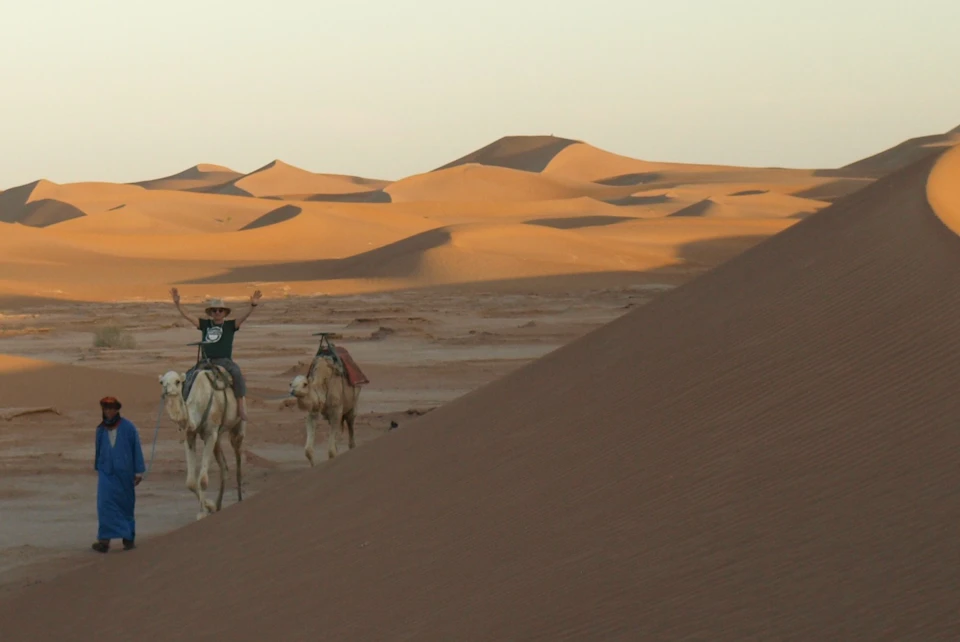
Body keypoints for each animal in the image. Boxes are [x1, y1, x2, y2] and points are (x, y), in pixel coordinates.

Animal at [159, 366, 245, 519]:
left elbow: (203, 480)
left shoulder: (210, 434)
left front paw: (202, 513)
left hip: (238, 426)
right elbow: (190, 482)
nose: (167, 390)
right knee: (224, 467)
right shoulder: (190, 435)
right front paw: (209, 506)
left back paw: (240, 499)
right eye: (162, 382)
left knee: (238, 457)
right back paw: (218, 504)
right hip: (218, 437)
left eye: (177, 381)